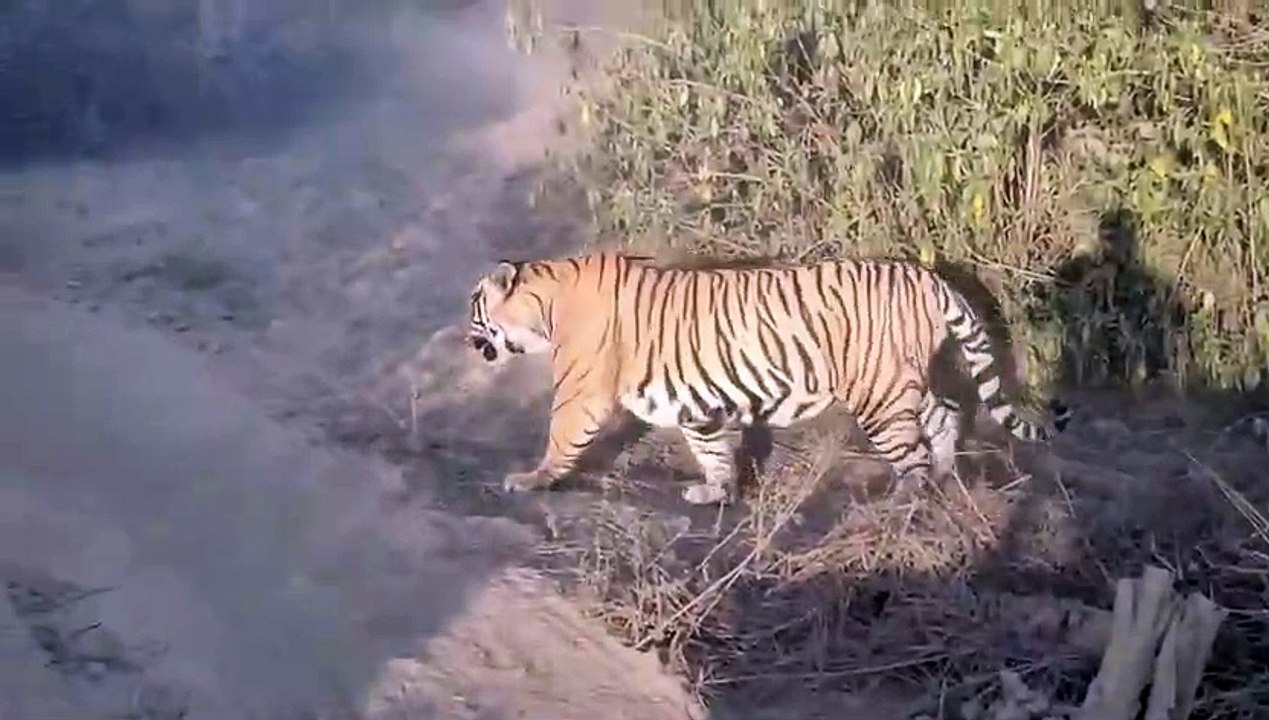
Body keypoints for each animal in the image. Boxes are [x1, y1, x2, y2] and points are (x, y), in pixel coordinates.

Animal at [467, 250, 1071, 506]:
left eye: (474, 305)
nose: (467, 340)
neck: (547, 302)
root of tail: (925, 275)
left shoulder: (580, 393)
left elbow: (559, 438)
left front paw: (531, 479)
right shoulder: (699, 404)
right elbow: (712, 450)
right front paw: (715, 492)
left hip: (878, 394)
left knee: (914, 454)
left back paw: (906, 499)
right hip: (900, 383)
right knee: (944, 417)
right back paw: (945, 475)